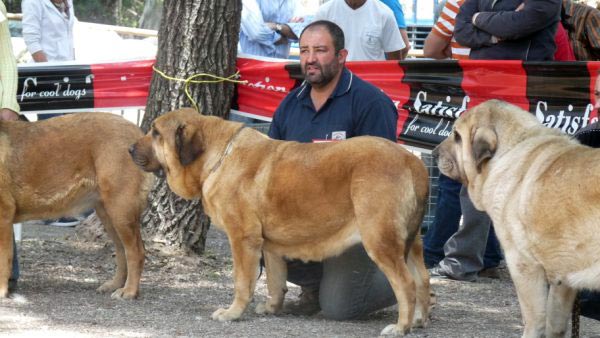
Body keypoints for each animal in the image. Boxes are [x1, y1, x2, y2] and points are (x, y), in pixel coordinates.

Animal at [0, 113, 154, 298]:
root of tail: (137, 132)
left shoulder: (4, 215)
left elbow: (3, 260)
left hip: (121, 210)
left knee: (135, 251)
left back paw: (129, 291)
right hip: (108, 214)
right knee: (121, 251)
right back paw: (115, 285)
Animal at [130, 108, 432, 336]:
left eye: (155, 133)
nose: (130, 148)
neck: (217, 156)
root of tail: (412, 161)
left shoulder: (242, 239)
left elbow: (242, 282)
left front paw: (233, 313)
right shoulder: (269, 246)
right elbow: (276, 281)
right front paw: (271, 308)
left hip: (380, 241)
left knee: (406, 284)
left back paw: (401, 327)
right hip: (412, 243)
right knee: (422, 279)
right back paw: (419, 320)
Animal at [436, 98, 600, 338]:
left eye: (457, 136)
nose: (434, 152)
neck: (509, 152)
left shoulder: (522, 264)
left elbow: (534, 317)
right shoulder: (562, 279)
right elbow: (556, 321)